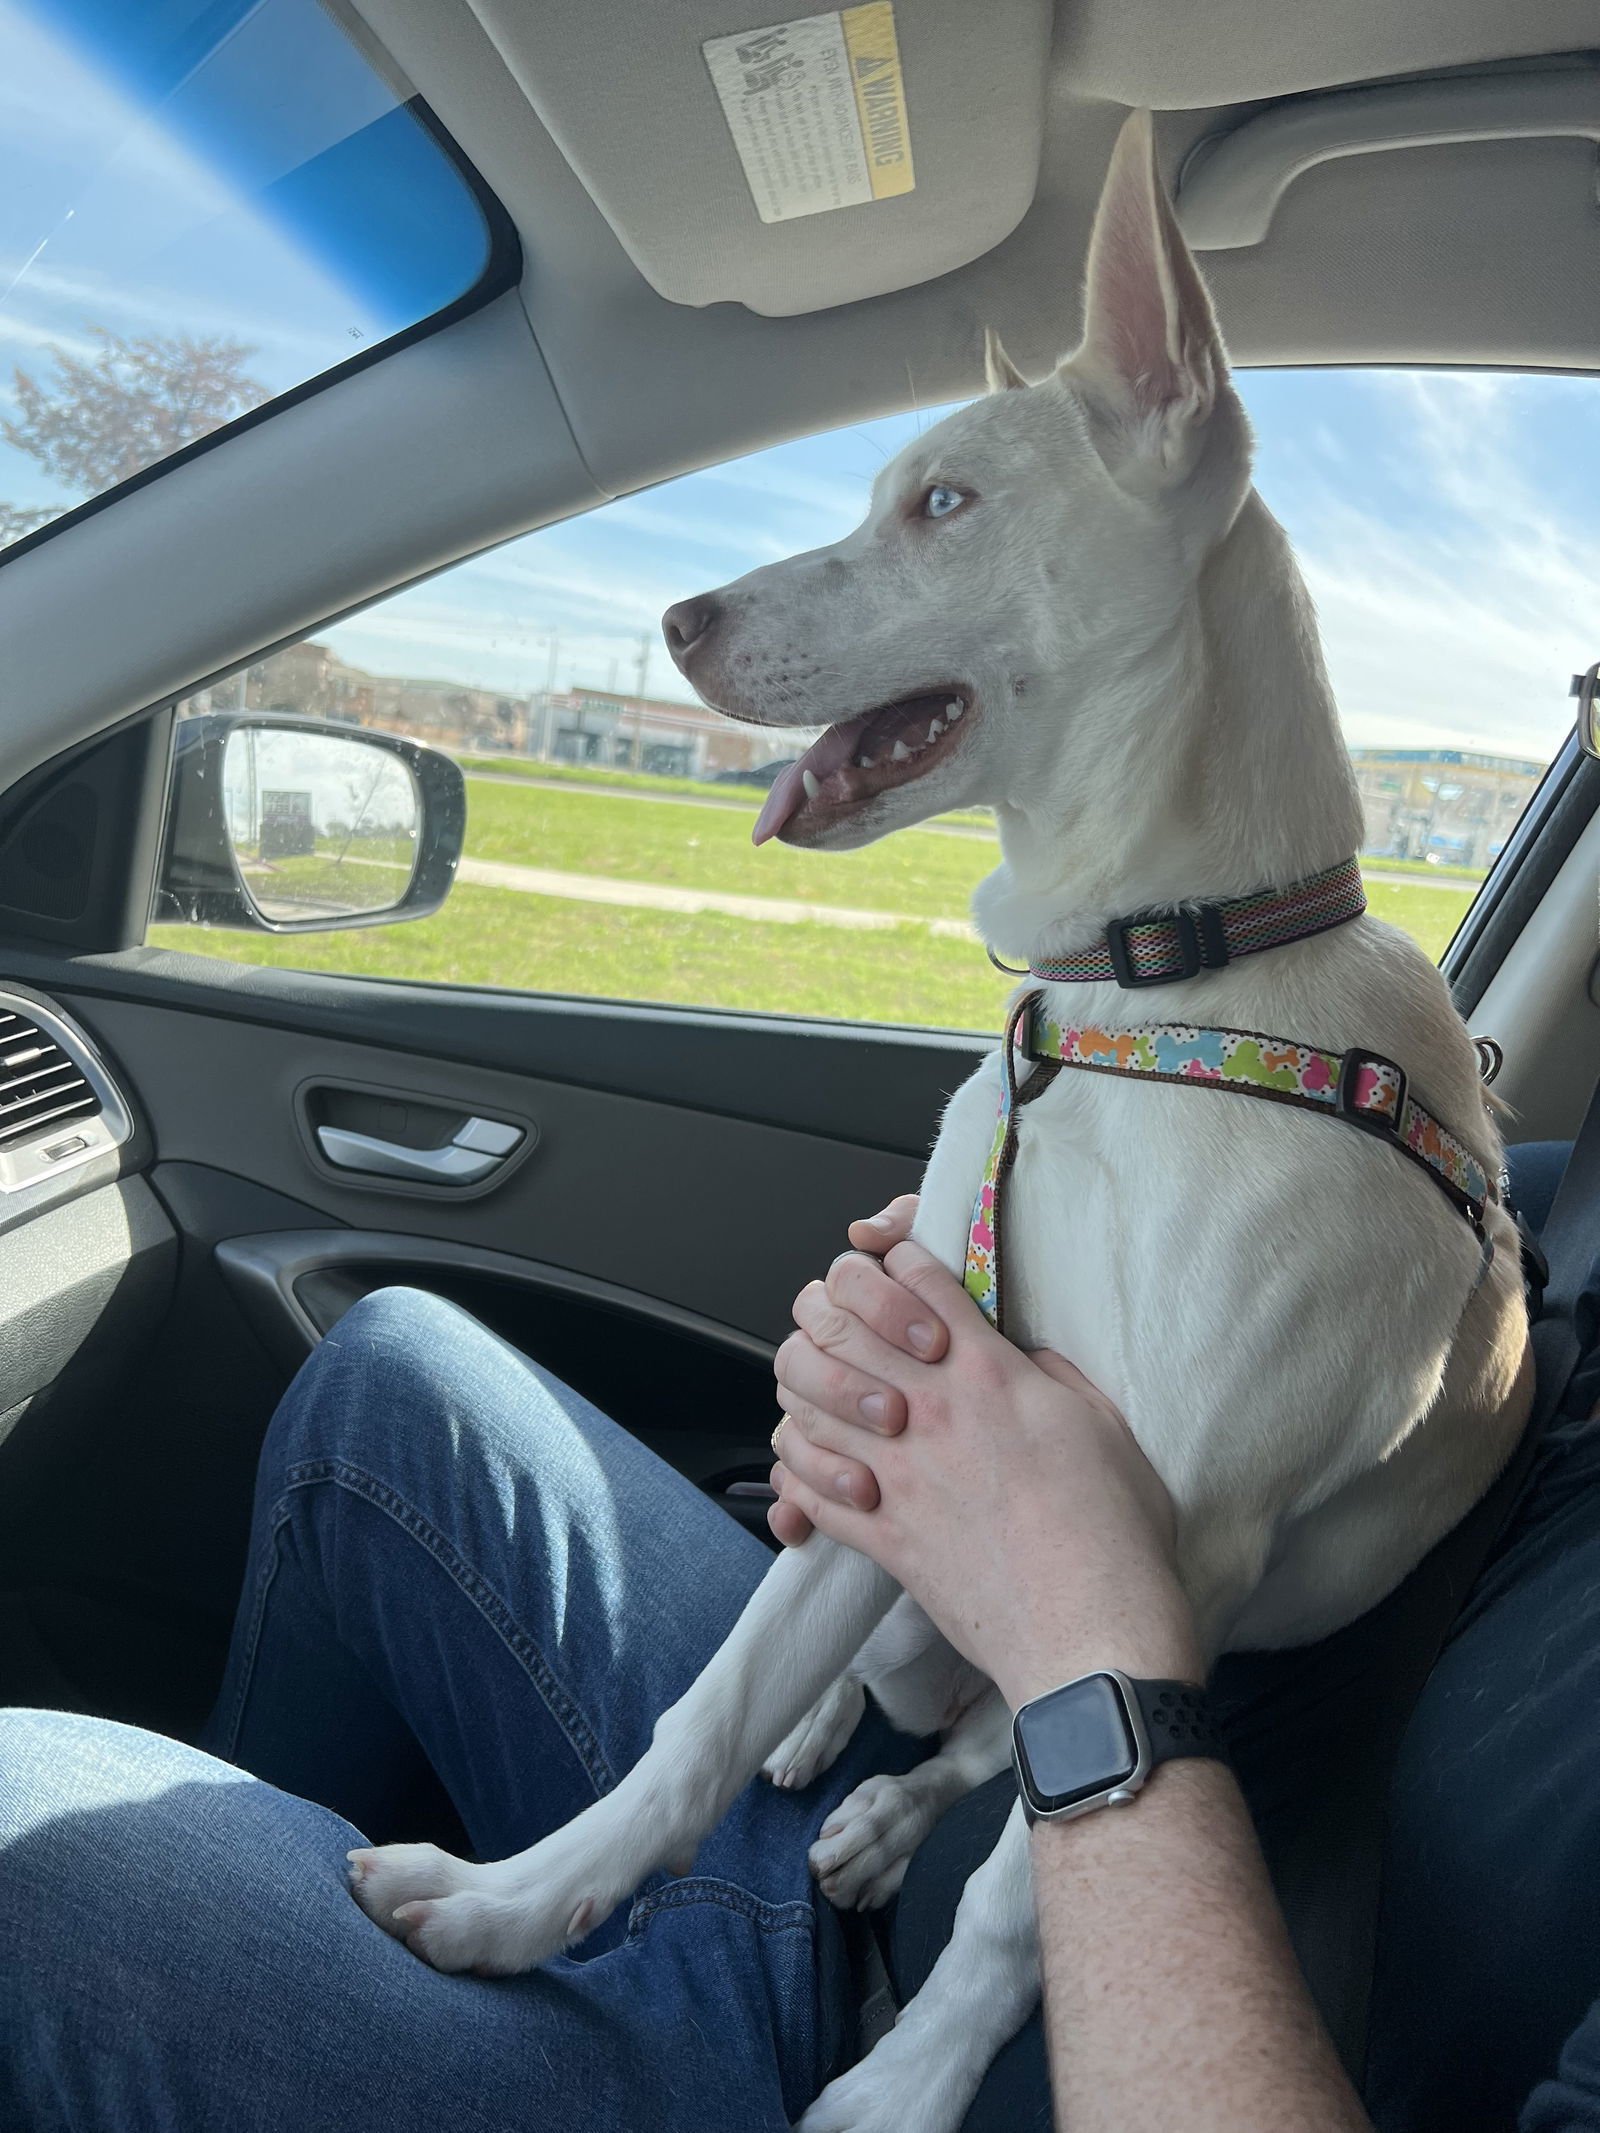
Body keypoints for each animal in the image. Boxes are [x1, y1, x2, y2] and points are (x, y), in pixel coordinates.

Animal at [354, 116, 1544, 2133]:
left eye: (946, 504)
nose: (672, 617)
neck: (1143, 1004)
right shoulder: (899, 1386)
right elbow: (699, 1715)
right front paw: (524, 1901)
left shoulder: (1172, 1543)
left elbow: (1021, 1888)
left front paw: (902, 2087)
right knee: (876, 1675)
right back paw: (832, 1729)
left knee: (996, 1761)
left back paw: (883, 1820)